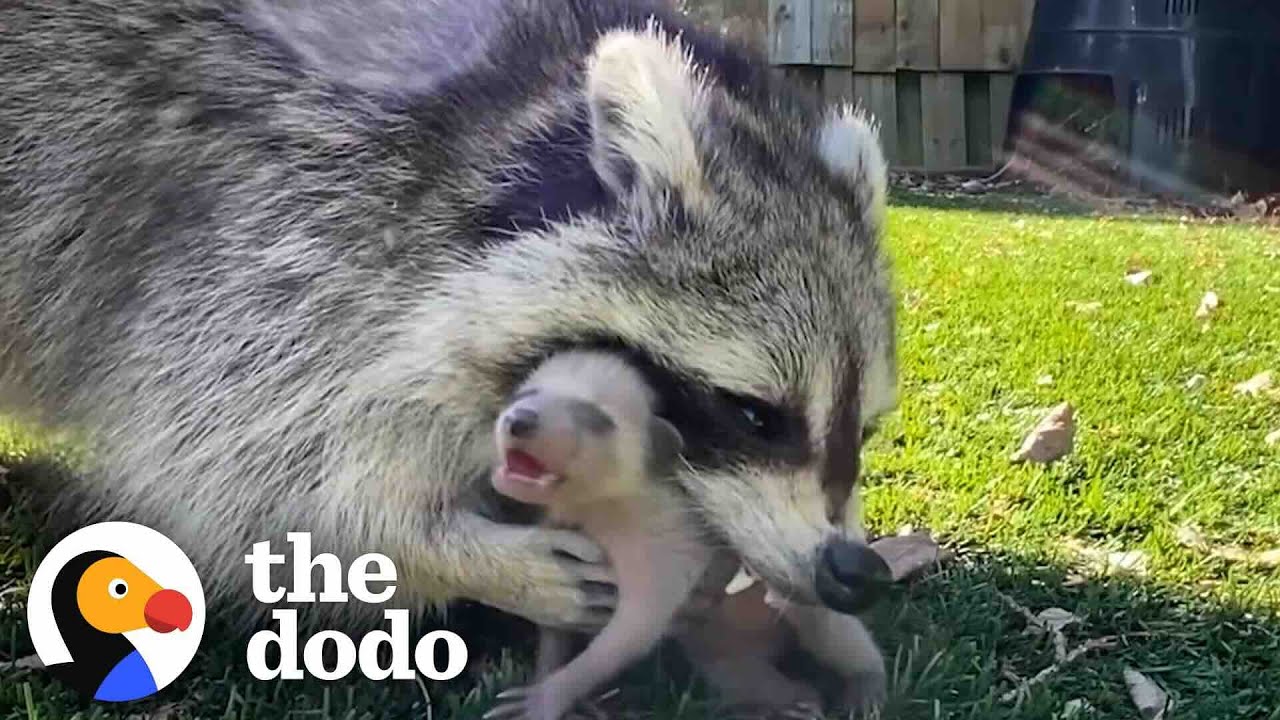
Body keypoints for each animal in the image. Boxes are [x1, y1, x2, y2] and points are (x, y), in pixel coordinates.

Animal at [0, 0, 897, 661]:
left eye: (864, 428)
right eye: (755, 414)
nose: (856, 574)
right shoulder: (274, 213)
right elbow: (222, 466)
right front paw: (435, 550)